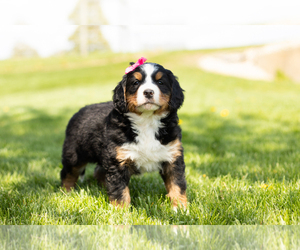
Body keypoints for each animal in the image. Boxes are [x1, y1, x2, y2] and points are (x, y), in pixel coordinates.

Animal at [60, 57, 188, 210]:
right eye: (136, 83)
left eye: (160, 82)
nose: (148, 92)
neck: (147, 121)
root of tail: (79, 112)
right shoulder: (117, 161)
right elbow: (120, 190)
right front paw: (121, 211)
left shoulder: (173, 157)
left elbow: (177, 185)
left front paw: (180, 208)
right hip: (74, 154)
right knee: (68, 173)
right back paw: (66, 193)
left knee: (99, 172)